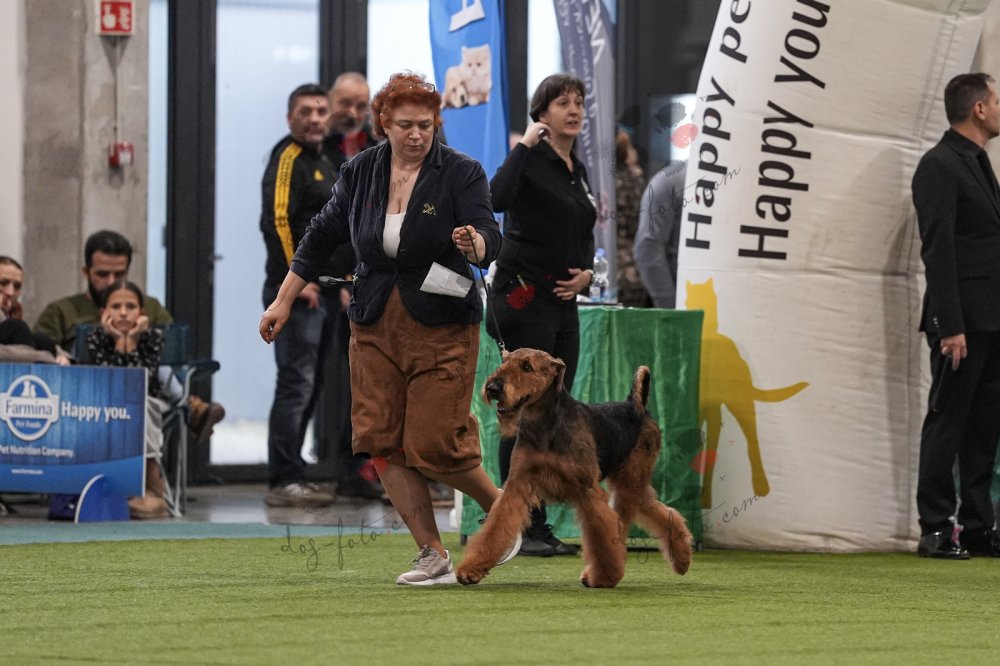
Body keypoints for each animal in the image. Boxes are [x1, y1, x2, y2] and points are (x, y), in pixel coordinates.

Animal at [455, 348, 692, 588]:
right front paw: (470, 570)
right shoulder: (517, 485)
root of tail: (636, 406)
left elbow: (601, 536)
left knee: (635, 518)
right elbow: (496, 526)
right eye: (504, 361)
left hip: (630, 481)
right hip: (632, 484)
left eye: (527, 366)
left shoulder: (587, 489)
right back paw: (681, 559)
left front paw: (604, 577)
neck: (544, 424)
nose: (493, 388)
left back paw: (679, 560)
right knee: (657, 511)